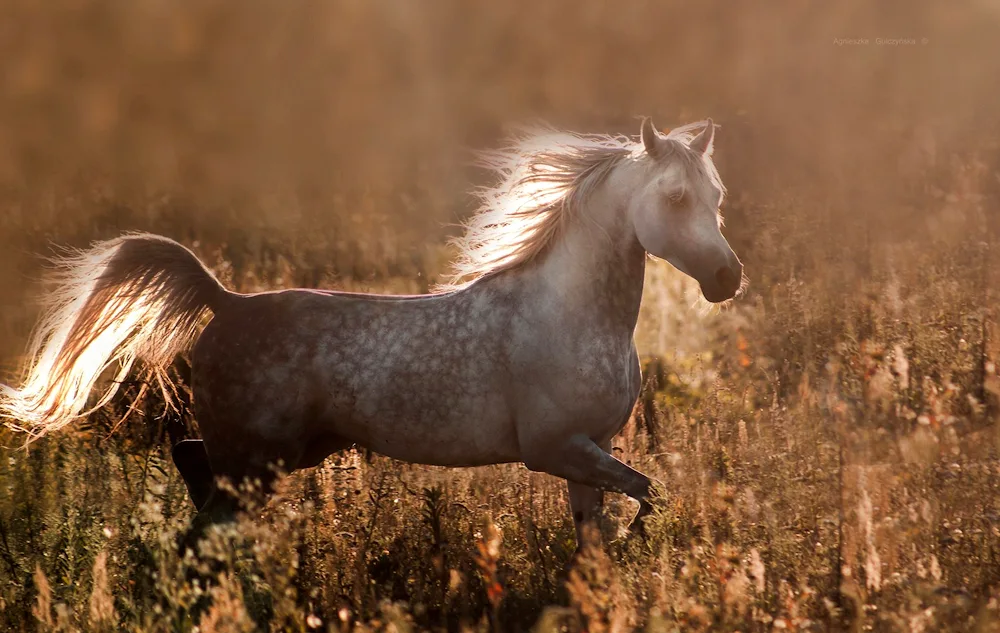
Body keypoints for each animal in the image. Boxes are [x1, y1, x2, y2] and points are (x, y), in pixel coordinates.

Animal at [0, 118, 744, 548]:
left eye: (717, 197)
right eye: (675, 197)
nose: (726, 277)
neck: (571, 315)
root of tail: (226, 301)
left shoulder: (588, 450)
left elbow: (601, 533)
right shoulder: (555, 448)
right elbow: (648, 494)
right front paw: (642, 538)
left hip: (283, 454)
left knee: (192, 472)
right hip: (256, 460)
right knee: (203, 515)